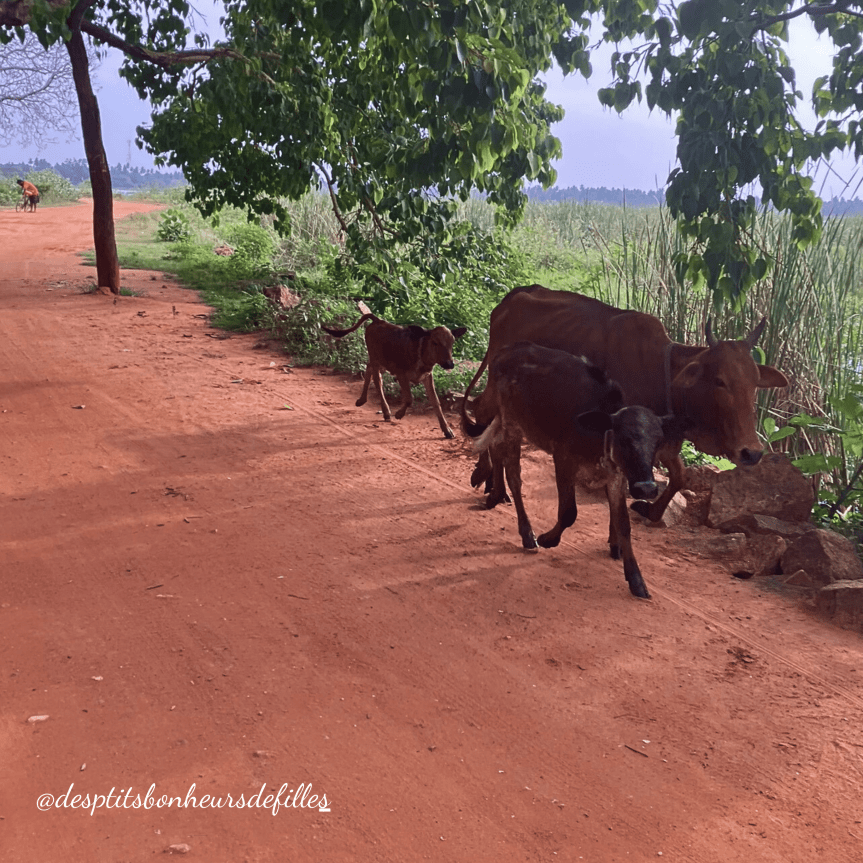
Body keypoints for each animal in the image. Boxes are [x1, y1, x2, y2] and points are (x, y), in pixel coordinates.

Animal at [322, 313, 467, 438]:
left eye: (452, 343)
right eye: (435, 342)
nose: (449, 364)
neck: (421, 354)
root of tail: (378, 320)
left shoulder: (427, 376)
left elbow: (436, 402)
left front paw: (447, 430)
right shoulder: (401, 374)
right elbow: (409, 399)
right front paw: (398, 414)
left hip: (382, 362)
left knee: (368, 369)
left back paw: (361, 400)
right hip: (375, 358)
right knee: (377, 380)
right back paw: (386, 411)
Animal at [461, 286, 788, 522]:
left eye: (755, 383)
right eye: (720, 381)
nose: (751, 453)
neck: (663, 372)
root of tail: (513, 296)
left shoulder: (665, 441)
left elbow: (680, 476)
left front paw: (652, 511)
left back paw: (489, 481)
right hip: (498, 384)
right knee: (483, 412)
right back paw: (493, 487)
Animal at [464, 342, 685, 598]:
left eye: (658, 442)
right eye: (623, 439)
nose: (647, 488)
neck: (597, 435)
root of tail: (508, 350)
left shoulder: (617, 477)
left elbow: (624, 524)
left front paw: (636, 579)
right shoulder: (563, 459)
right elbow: (569, 512)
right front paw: (548, 539)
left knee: (494, 446)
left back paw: (495, 494)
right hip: (512, 424)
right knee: (513, 474)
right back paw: (526, 532)